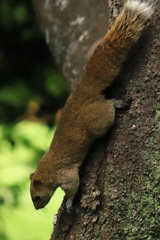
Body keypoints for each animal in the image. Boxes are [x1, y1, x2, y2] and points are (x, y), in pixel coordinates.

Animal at [29, 0, 153, 210]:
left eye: (36, 196)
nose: (37, 208)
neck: (47, 169)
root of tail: (84, 91)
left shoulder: (65, 174)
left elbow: (73, 186)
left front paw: (69, 203)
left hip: (98, 119)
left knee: (108, 108)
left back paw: (118, 102)